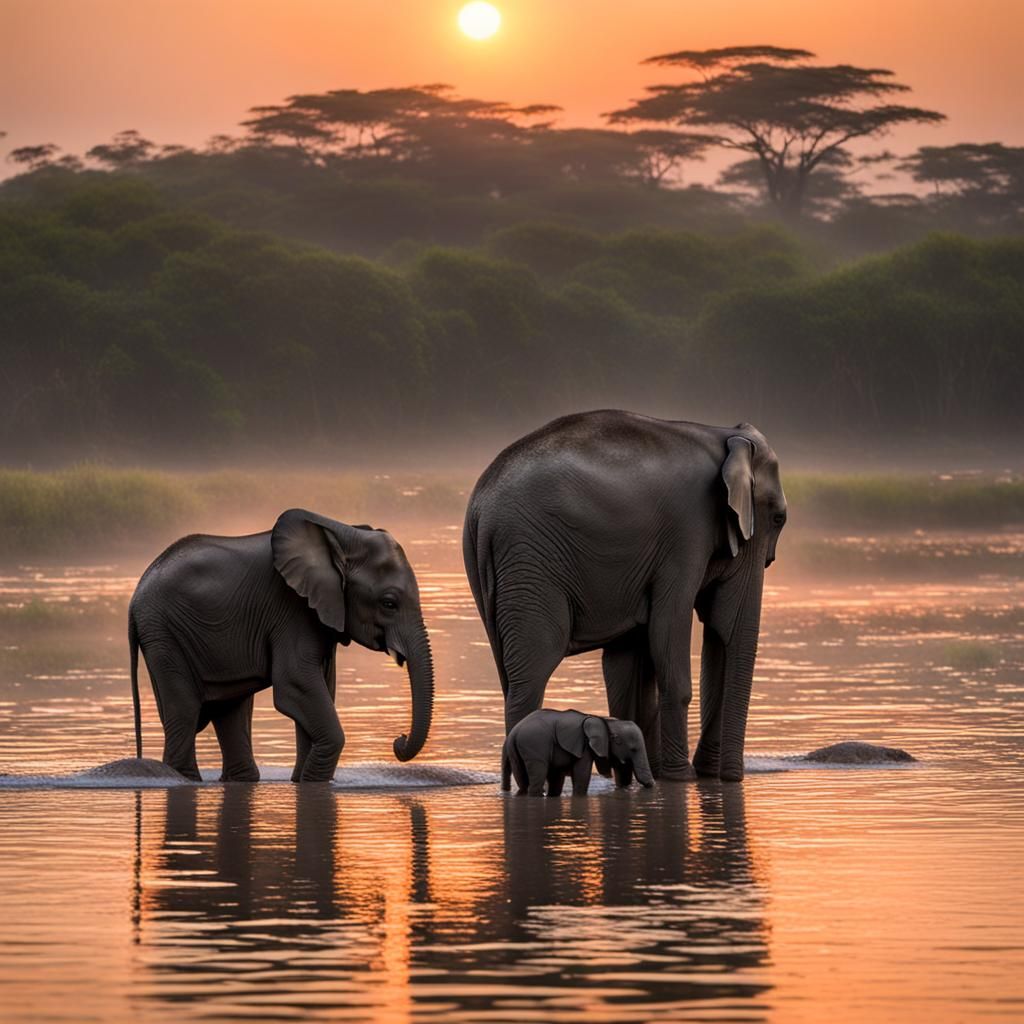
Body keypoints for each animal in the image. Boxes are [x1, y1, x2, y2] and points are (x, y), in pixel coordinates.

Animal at [129, 508, 434, 783]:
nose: (398, 739)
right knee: (186, 709)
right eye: (389, 603)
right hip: (164, 634)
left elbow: (322, 686)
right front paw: (311, 780)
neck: (343, 533)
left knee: (231, 709)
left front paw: (304, 782)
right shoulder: (291, 610)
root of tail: (136, 596)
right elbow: (296, 685)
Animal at [464, 410, 786, 783]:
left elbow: (632, 661)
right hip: (528, 565)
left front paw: (653, 778)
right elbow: (670, 630)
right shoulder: (687, 535)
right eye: (779, 518)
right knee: (531, 673)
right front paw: (679, 779)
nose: (725, 777)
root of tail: (479, 510)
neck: (723, 435)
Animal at [502, 708, 654, 796]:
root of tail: (514, 733)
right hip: (534, 747)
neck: (603, 720)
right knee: (537, 777)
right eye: (633, 749)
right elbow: (582, 775)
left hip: (514, 750)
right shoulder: (584, 746)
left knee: (523, 781)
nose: (651, 785)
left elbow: (558, 777)